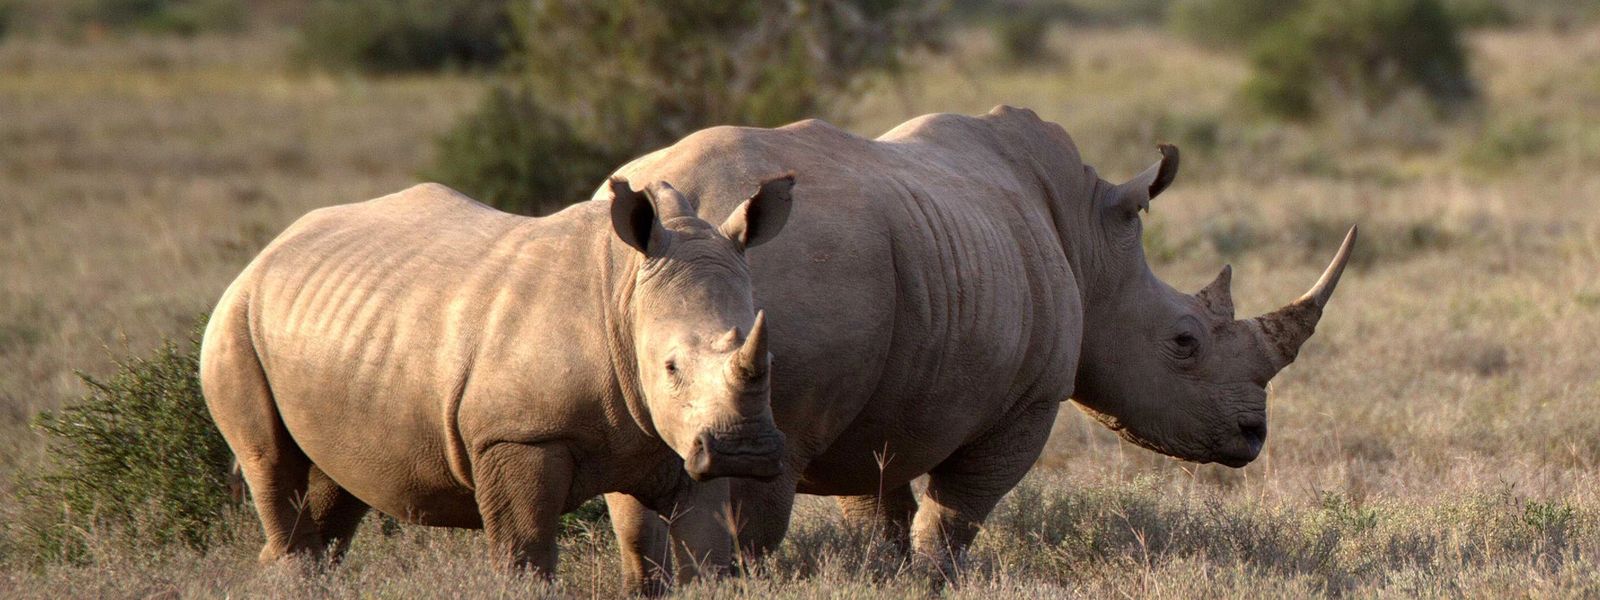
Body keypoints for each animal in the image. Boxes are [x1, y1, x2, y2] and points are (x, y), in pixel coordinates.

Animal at [200, 176, 795, 581]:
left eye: (769, 359)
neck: (626, 293)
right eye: (670, 367)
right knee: (272, 466)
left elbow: (704, 556)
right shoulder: (517, 435)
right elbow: (524, 554)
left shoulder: (682, 440)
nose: (745, 452)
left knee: (333, 489)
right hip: (235, 322)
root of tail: (266, 252)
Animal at [601, 106, 1355, 589]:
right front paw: (937, 580)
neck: (1093, 243)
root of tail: (693, 210)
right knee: (758, 484)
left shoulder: (884, 403)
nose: (1253, 436)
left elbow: (879, 510)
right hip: (792, 276)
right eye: (1184, 342)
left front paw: (886, 577)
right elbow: (956, 515)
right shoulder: (1029, 401)